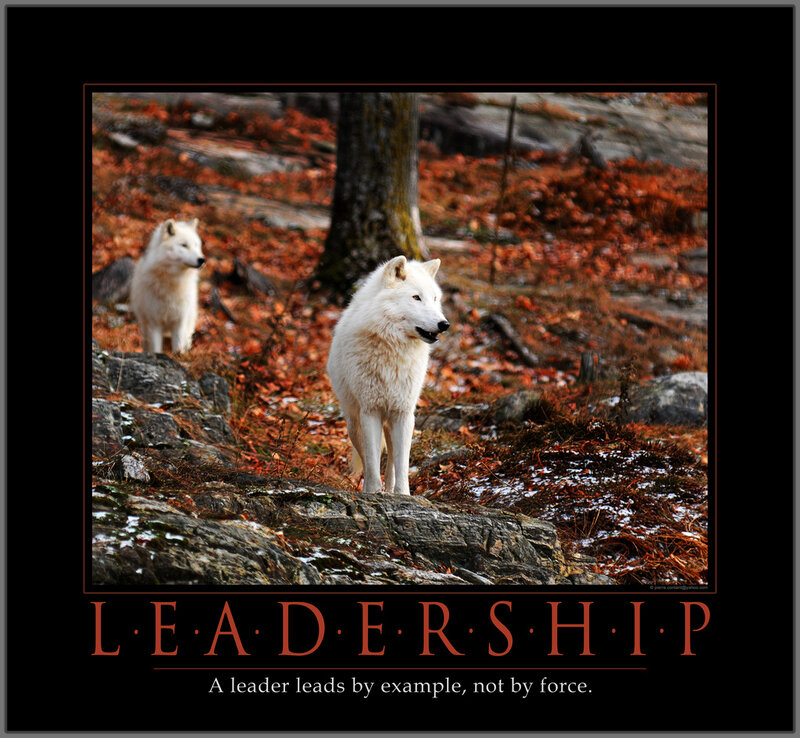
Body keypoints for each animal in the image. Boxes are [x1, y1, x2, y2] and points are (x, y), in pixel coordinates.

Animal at [130, 218, 206, 353]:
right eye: (184, 245)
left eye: (196, 245)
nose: (202, 260)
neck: (173, 282)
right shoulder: (154, 323)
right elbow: (156, 349)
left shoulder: (179, 321)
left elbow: (178, 347)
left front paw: (179, 356)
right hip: (144, 326)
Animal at [327, 255, 450, 495]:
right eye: (416, 297)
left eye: (434, 298)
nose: (444, 324)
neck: (394, 350)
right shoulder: (370, 411)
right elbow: (373, 462)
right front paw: (373, 492)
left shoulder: (404, 414)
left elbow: (402, 464)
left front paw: (402, 495)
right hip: (354, 424)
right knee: (367, 459)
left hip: (392, 421)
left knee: (392, 459)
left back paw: (391, 489)